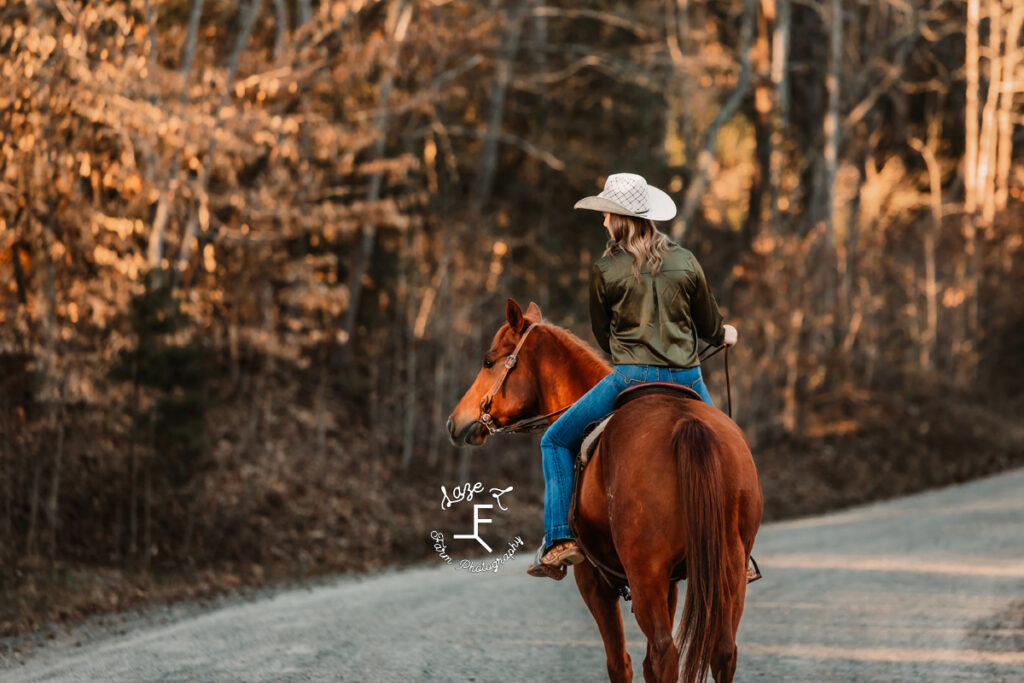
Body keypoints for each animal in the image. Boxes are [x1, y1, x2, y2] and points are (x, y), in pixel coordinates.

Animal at [446, 301, 761, 683]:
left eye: (489, 361)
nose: (454, 422)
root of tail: (687, 422)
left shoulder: (594, 580)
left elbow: (620, 663)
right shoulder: (670, 582)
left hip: (646, 576)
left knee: (664, 654)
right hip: (728, 568)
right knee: (722, 652)